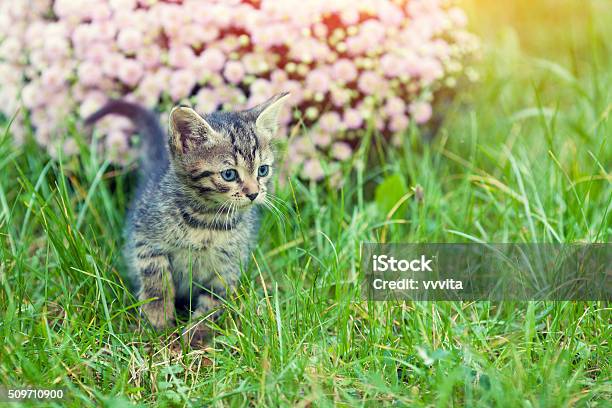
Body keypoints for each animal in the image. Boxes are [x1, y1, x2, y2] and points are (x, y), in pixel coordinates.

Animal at [85, 94, 290, 340]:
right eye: (229, 174)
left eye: (262, 170)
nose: (253, 193)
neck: (207, 222)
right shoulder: (146, 241)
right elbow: (156, 280)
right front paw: (157, 318)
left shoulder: (228, 266)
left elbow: (213, 301)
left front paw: (197, 332)